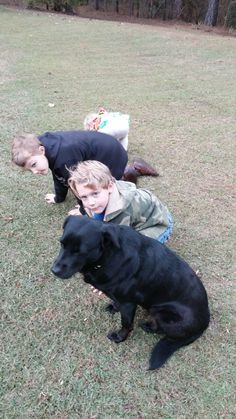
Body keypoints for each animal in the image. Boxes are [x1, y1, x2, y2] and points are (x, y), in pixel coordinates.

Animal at [52, 217, 210, 370]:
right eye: (61, 244)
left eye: (79, 251)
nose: (54, 270)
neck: (108, 255)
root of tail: (205, 324)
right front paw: (113, 307)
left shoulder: (128, 303)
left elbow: (126, 324)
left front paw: (120, 337)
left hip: (159, 311)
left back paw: (148, 326)